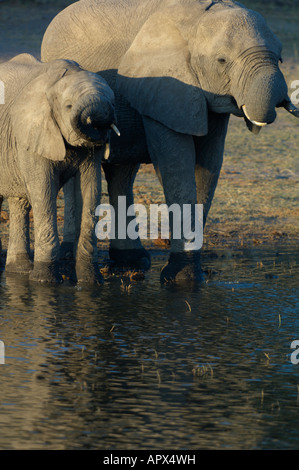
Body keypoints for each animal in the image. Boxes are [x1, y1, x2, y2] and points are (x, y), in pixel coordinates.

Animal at [0, 53, 116, 284]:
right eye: (69, 106)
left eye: (114, 101)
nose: (100, 124)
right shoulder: (32, 134)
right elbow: (43, 191)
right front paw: (44, 281)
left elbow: (91, 189)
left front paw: (90, 281)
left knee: (19, 202)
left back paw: (19, 270)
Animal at [41, 0, 299, 282]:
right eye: (222, 61)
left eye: (281, 57)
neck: (200, 20)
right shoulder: (164, 87)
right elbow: (176, 166)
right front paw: (181, 278)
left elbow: (207, 166)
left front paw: (188, 277)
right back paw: (70, 255)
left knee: (122, 172)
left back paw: (132, 260)